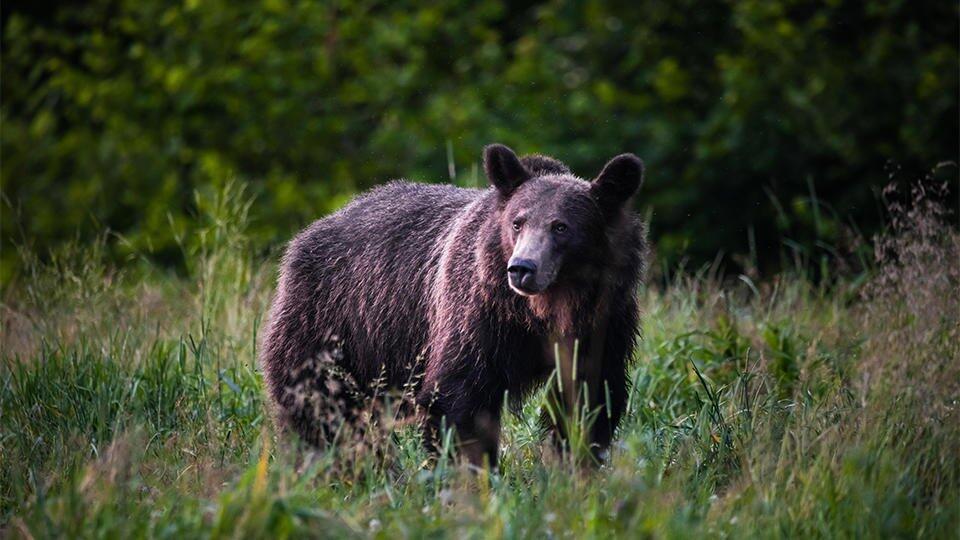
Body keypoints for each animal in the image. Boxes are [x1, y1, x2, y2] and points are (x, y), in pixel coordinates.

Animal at [258, 144, 648, 468]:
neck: (542, 312)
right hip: (335, 320)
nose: (522, 268)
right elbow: (461, 397)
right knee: (318, 403)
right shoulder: (479, 315)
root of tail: (311, 230)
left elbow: (588, 399)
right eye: (518, 222)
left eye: (561, 227)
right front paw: (473, 476)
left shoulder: (604, 322)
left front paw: (576, 466)